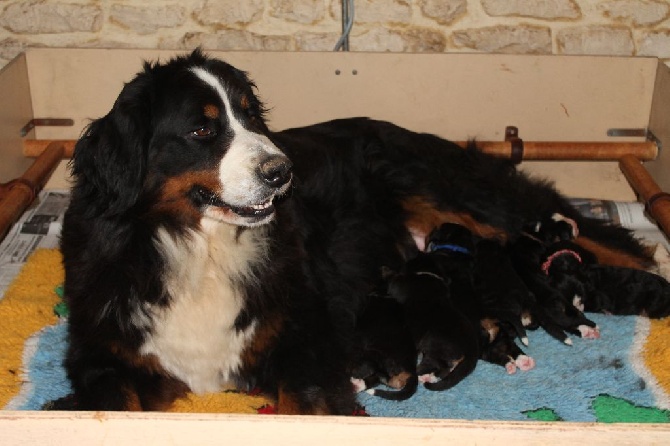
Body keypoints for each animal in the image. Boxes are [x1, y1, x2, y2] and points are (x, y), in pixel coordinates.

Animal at [57, 49, 656, 414]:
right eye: (202, 130)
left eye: (251, 118)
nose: (282, 171)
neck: (199, 248)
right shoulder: (104, 359)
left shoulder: (307, 342)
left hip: (461, 193)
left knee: (596, 234)